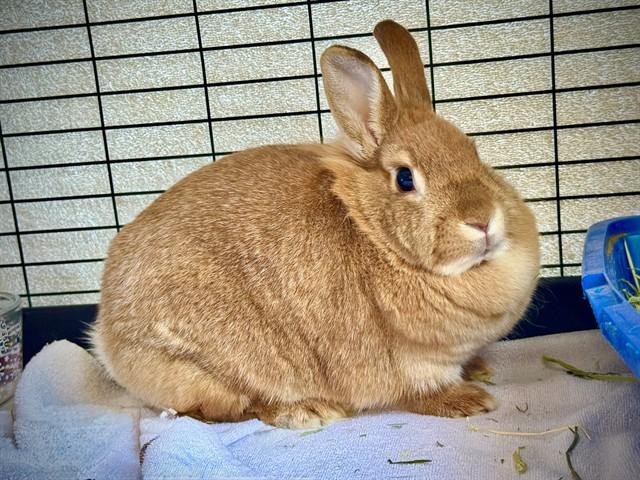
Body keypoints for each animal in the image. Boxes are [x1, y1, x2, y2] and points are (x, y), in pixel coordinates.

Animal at [91, 20, 540, 429]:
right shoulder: (411, 364)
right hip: (213, 367)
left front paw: (480, 368)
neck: (375, 236)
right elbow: (422, 392)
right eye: (404, 178)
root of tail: (107, 337)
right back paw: (307, 412)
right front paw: (471, 399)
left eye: (473, 152)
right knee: (224, 409)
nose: (482, 220)